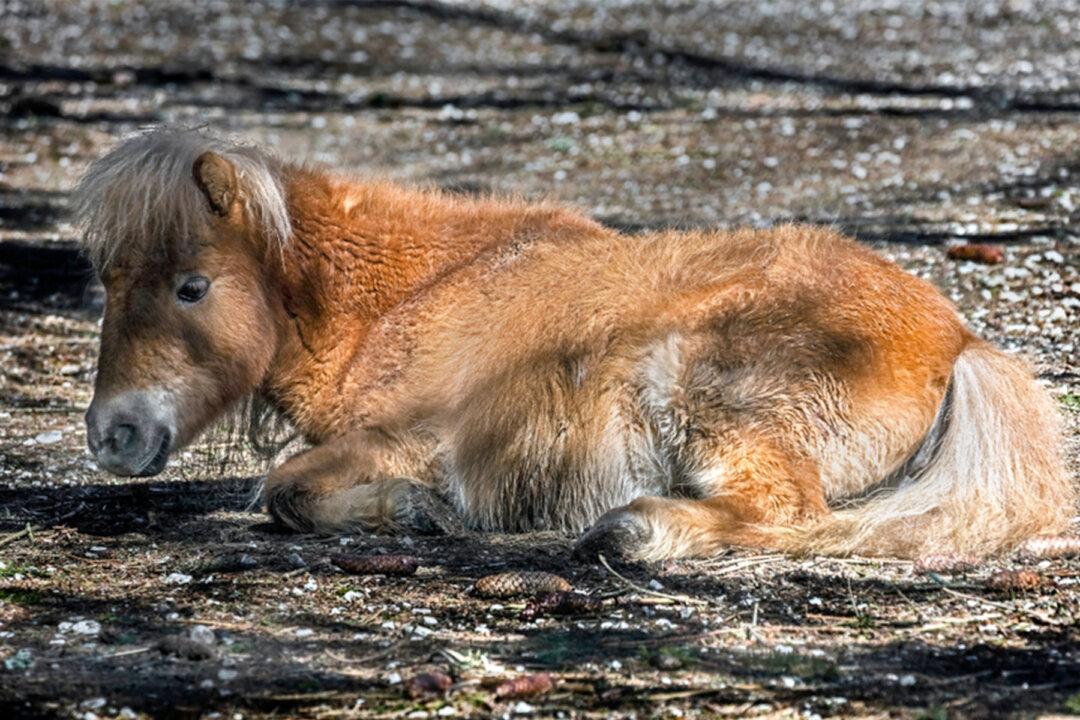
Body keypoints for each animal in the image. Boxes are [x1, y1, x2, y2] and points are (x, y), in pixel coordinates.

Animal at [75, 128, 1073, 562]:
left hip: (702, 387)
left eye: (191, 286)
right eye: (107, 282)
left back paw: (635, 529)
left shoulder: (415, 438)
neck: (414, 292)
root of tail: (960, 339)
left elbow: (286, 489)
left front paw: (416, 512)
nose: (111, 435)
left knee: (791, 514)